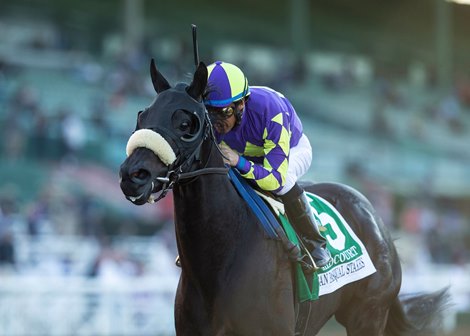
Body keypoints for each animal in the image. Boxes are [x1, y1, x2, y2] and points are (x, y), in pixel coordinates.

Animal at [119, 60, 450, 336]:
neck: (218, 263)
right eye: (142, 115)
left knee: (287, 183)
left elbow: (277, 178)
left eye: (186, 124)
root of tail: (377, 220)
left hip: (368, 314)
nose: (133, 175)